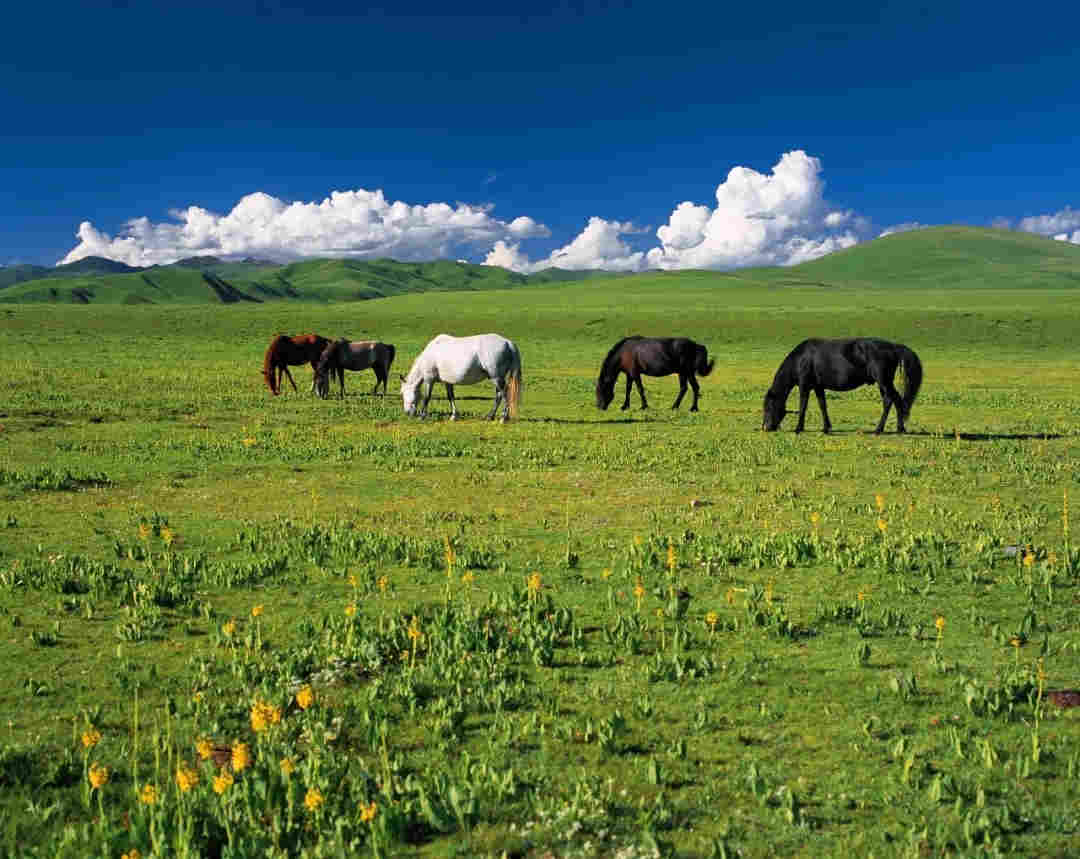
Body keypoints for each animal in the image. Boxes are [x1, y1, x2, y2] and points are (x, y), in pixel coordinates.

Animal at [760, 334, 928, 430]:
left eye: (768, 407)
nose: (766, 428)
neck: (801, 358)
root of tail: (894, 347)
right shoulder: (818, 387)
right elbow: (822, 405)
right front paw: (826, 428)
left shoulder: (804, 386)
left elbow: (803, 406)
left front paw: (798, 429)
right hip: (883, 383)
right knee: (889, 401)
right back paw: (882, 428)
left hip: (884, 381)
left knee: (896, 400)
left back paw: (893, 429)